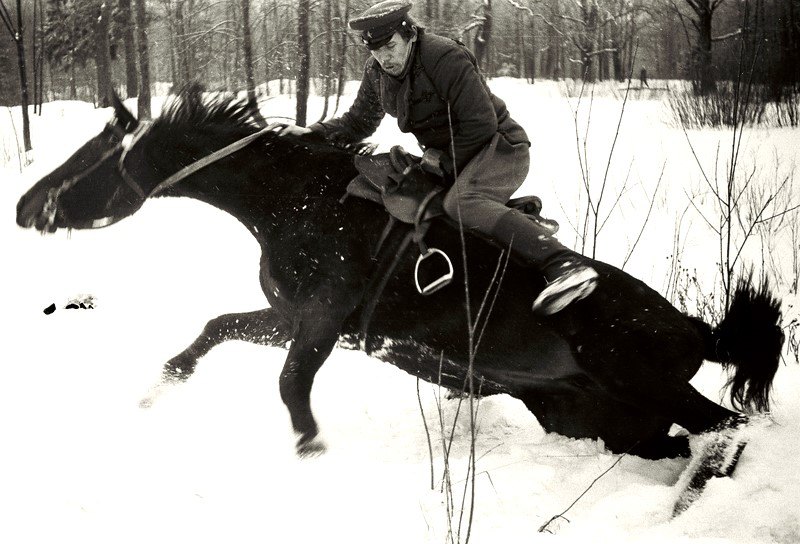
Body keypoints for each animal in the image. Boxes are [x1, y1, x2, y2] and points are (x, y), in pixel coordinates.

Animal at [15, 89, 784, 468]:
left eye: (87, 158)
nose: (25, 205)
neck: (296, 201)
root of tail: (693, 328)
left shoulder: (322, 319)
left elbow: (291, 381)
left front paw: (309, 443)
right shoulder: (291, 318)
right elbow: (216, 329)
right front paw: (158, 387)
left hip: (651, 388)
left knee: (729, 430)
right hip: (607, 418)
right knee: (689, 440)